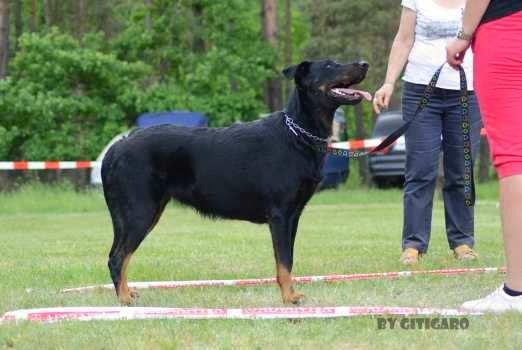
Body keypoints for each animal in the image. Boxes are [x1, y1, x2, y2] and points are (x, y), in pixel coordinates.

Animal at [101, 59, 368, 304]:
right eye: (330, 66)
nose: (364, 63)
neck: (297, 134)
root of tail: (116, 147)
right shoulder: (280, 216)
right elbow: (283, 262)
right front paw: (288, 298)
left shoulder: (294, 215)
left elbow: (288, 260)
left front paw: (290, 293)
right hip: (140, 212)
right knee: (117, 257)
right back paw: (124, 299)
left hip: (144, 213)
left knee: (120, 255)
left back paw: (128, 292)